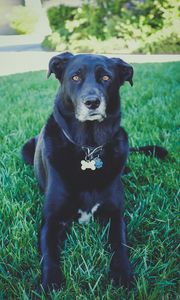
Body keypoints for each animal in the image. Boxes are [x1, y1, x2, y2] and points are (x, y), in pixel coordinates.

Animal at [21, 51, 168, 290]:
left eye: (106, 78)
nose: (92, 102)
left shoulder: (115, 215)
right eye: (75, 77)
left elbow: (119, 245)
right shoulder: (51, 220)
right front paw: (51, 281)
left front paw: (122, 274)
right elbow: (49, 254)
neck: (88, 147)